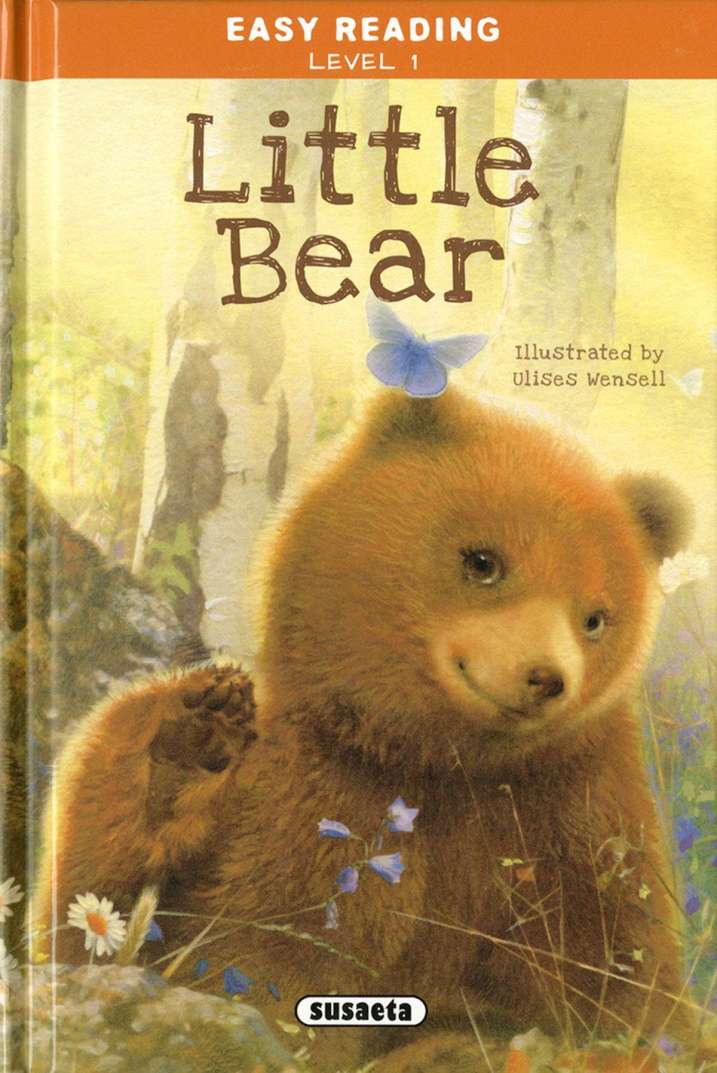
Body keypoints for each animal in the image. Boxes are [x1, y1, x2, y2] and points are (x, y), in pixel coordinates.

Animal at [33, 387, 698, 1072]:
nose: (544, 676)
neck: (439, 762)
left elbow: (620, 978)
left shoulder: (578, 818)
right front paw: (190, 742)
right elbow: (98, 912)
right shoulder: (309, 785)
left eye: (595, 618)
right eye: (483, 561)